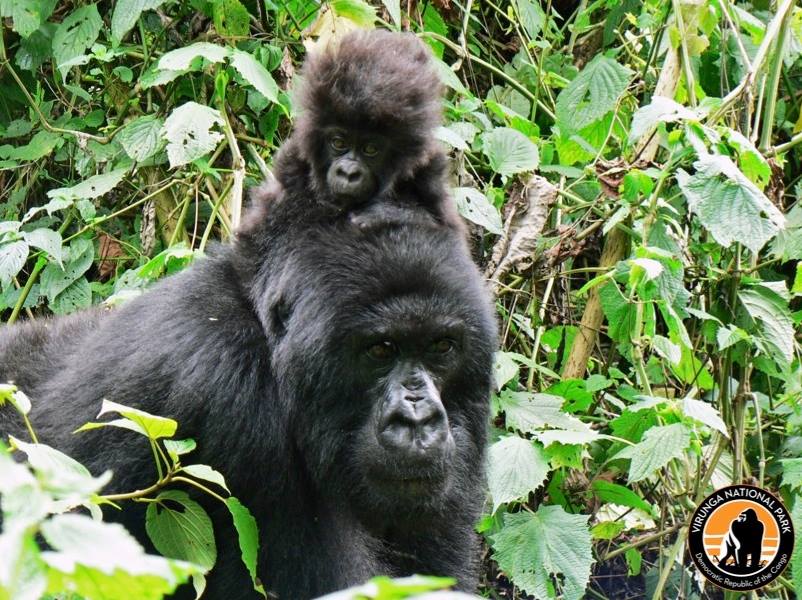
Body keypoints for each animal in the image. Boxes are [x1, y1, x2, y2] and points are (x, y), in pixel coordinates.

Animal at [250, 29, 462, 233]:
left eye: (370, 149)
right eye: (338, 143)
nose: (348, 173)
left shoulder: (431, 169)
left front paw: (385, 213)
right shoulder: (291, 160)